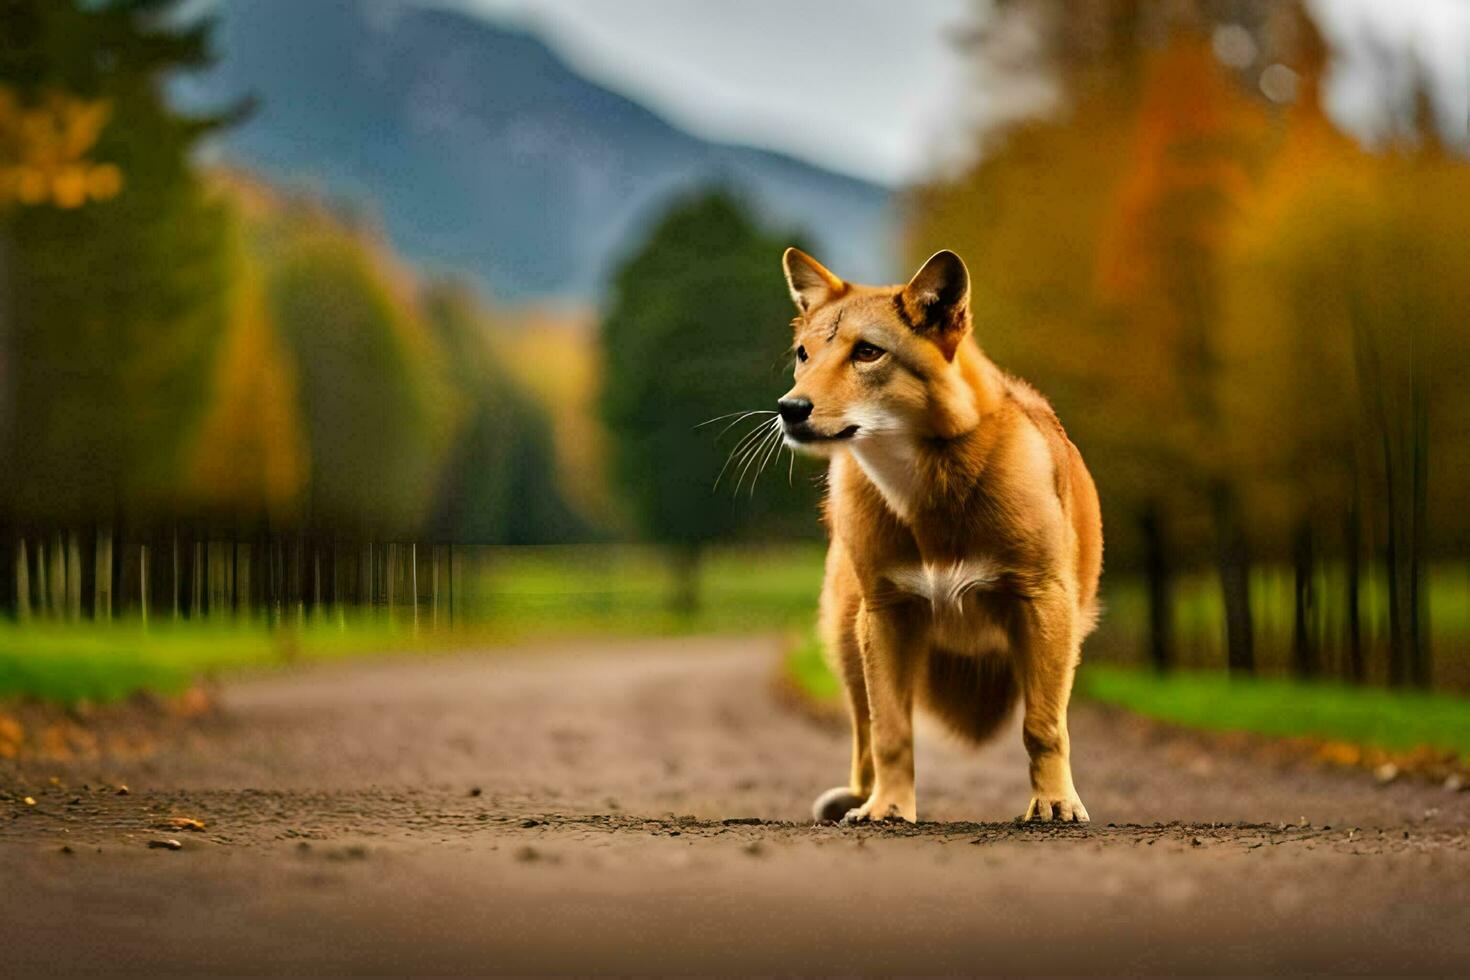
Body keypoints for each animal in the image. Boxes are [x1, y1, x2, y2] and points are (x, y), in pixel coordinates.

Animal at [782, 249, 1105, 822]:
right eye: (803, 355)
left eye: (868, 352)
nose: (789, 409)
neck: (926, 486)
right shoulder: (886, 613)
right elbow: (889, 729)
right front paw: (888, 808)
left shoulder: (1043, 603)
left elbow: (1043, 725)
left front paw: (1054, 803)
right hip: (845, 633)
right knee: (862, 730)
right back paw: (858, 797)